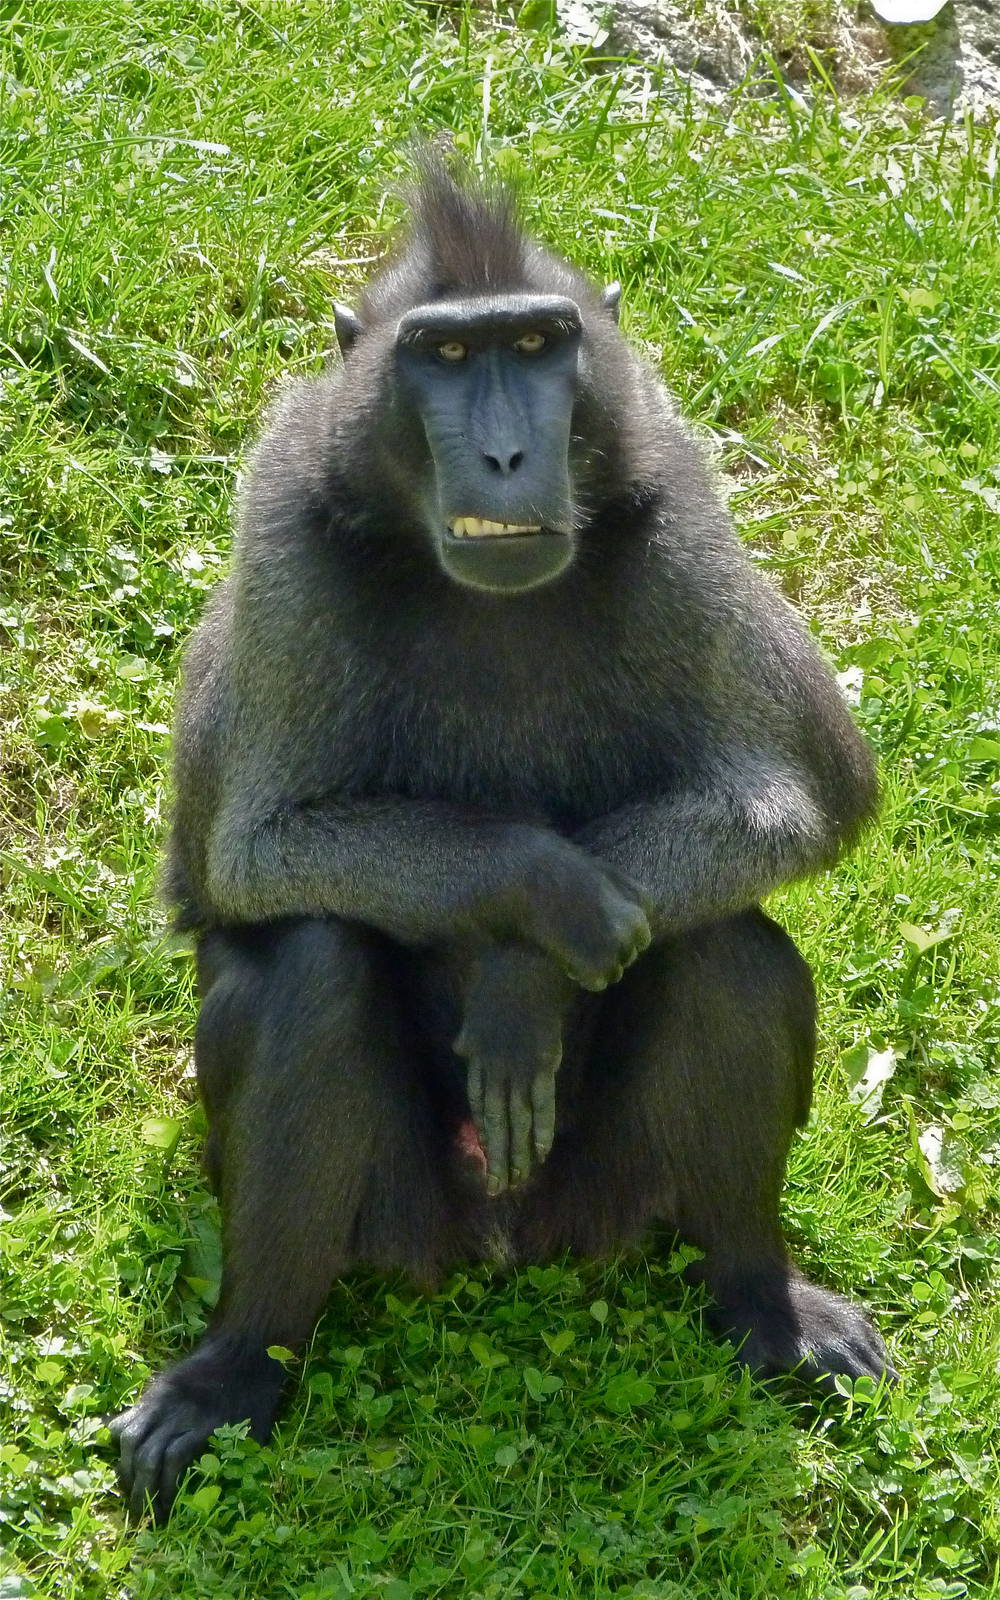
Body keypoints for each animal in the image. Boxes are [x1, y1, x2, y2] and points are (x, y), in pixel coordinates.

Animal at [111, 158, 896, 1521]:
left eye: (535, 345)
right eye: (442, 353)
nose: (505, 451)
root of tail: (502, 1235)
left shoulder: (677, 501)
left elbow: (799, 796)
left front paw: (526, 975)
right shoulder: (283, 529)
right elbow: (252, 853)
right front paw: (540, 898)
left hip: (611, 1184)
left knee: (721, 943)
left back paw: (759, 1292)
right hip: (402, 1210)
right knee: (313, 967)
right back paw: (239, 1361)